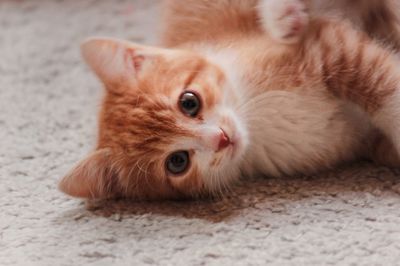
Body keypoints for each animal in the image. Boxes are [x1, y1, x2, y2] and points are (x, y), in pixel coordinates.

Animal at [58, 0, 400, 200]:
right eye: (177, 162)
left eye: (189, 102)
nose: (221, 138)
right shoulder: (359, 142)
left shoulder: (327, 46)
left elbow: (383, 86)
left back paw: (281, 13)